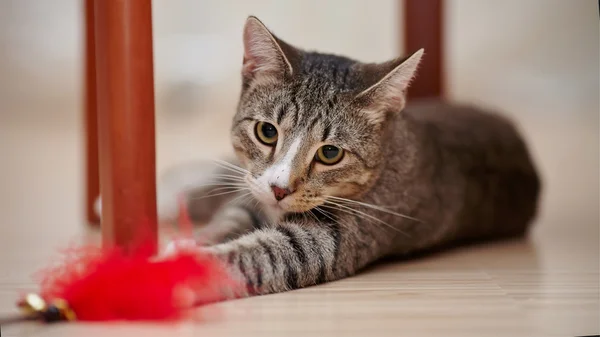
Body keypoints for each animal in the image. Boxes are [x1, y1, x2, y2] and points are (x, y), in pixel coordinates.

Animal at [105, 16, 540, 296]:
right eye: (266, 132)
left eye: (330, 153)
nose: (280, 189)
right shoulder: (250, 194)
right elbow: (229, 216)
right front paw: (185, 244)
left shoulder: (333, 239)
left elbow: (257, 255)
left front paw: (173, 270)